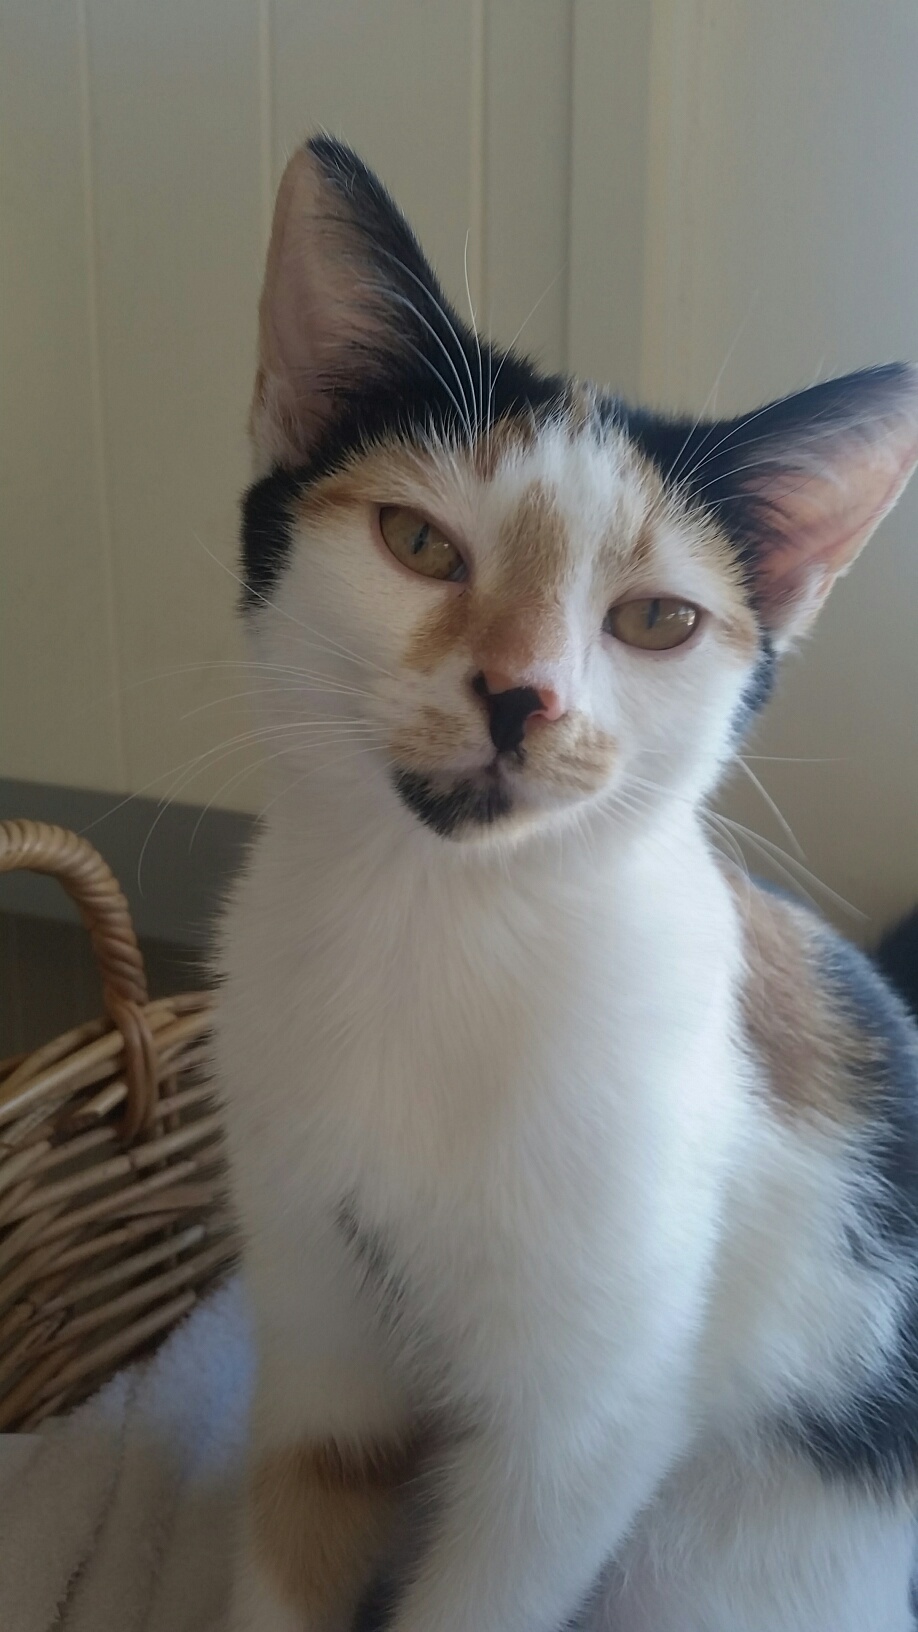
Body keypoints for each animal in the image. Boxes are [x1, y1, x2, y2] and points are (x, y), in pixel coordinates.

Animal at [215, 135, 918, 1632]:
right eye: (418, 543)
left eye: (657, 619)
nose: (520, 694)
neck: (436, 927)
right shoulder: (313, 1338)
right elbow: (303, 1518)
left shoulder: (581, 1433)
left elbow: (493, 1580)